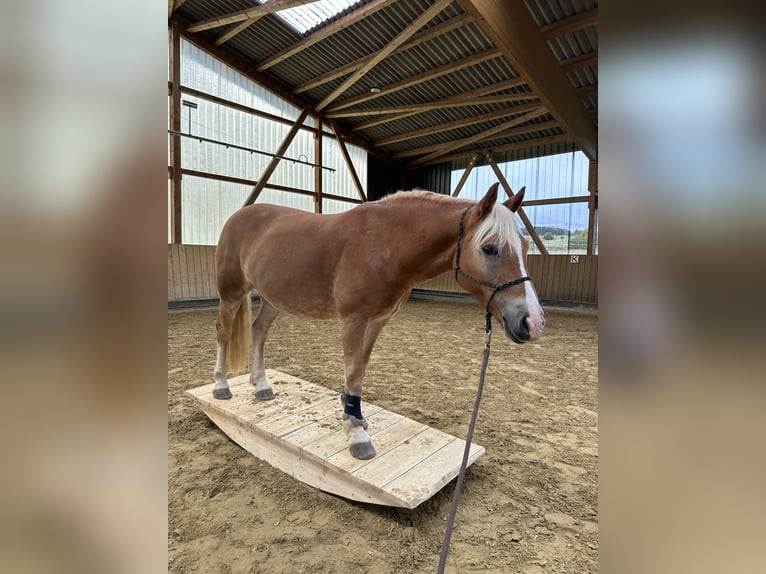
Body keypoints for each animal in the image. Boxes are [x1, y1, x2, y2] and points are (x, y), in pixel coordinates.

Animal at [212, 183, 545, 460]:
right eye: (489, 248)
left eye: (525, 245)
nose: (533, 322)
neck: (384, 244)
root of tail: (238, 216)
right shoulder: (353, 321)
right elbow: (353, 372)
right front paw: (357, 435)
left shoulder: (377, 322)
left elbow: (361, 368)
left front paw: (355, 415)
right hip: (232, 292)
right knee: (224, 332)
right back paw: (221, 386)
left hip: (273, 299)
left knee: (259, 331)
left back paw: (261, 385)